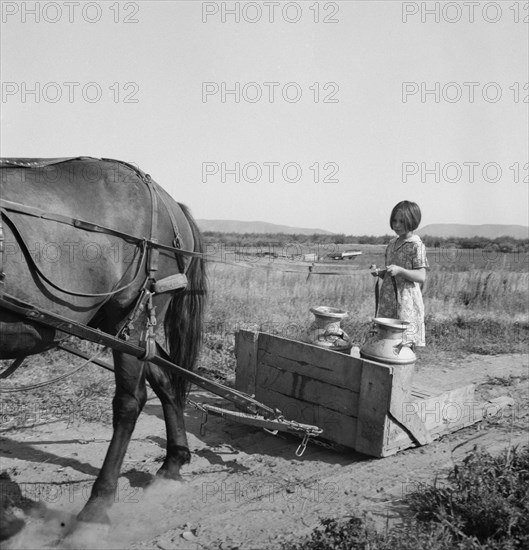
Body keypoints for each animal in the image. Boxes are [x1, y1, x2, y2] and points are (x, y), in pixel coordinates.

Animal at [0, 157, 206, 528]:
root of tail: (170, 203)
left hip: (133, 318)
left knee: (129, 402)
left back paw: (97, 505)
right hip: (126, 327)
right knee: (165, 378)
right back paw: (173, 463)